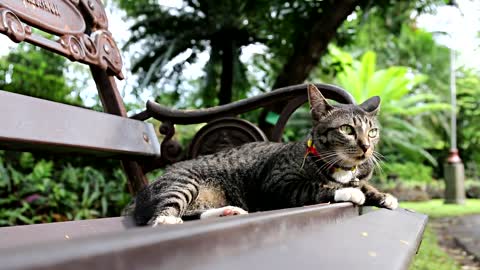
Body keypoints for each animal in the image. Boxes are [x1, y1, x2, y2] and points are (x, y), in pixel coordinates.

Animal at [132, 84, 398, 226]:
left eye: (373, 132)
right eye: (347, 130)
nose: (367, 147)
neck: (340, 167)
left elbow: (364, 185)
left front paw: (382, 195)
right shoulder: (278, 185)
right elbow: (317, 187)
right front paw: (348, 191)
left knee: (191, 214)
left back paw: (228, 211)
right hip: (183, 183)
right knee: (159, 217)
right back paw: (168, 220)